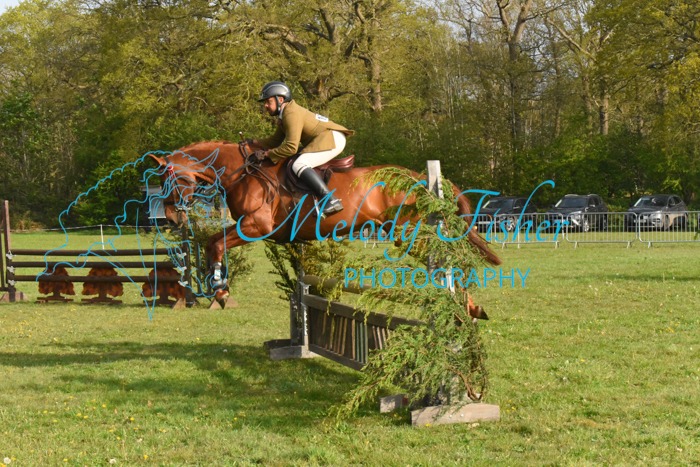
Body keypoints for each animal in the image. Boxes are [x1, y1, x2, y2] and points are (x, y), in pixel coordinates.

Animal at [147, 141, 501, 310]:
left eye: (167, 179)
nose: (172, 220)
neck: (241, 173)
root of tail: (415, 176)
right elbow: (212, 244)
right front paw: (218, 288)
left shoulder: (256, 226)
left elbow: (214, 243)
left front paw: (221, 290)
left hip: (408, 232)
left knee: (448, 254)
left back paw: (463, 298)